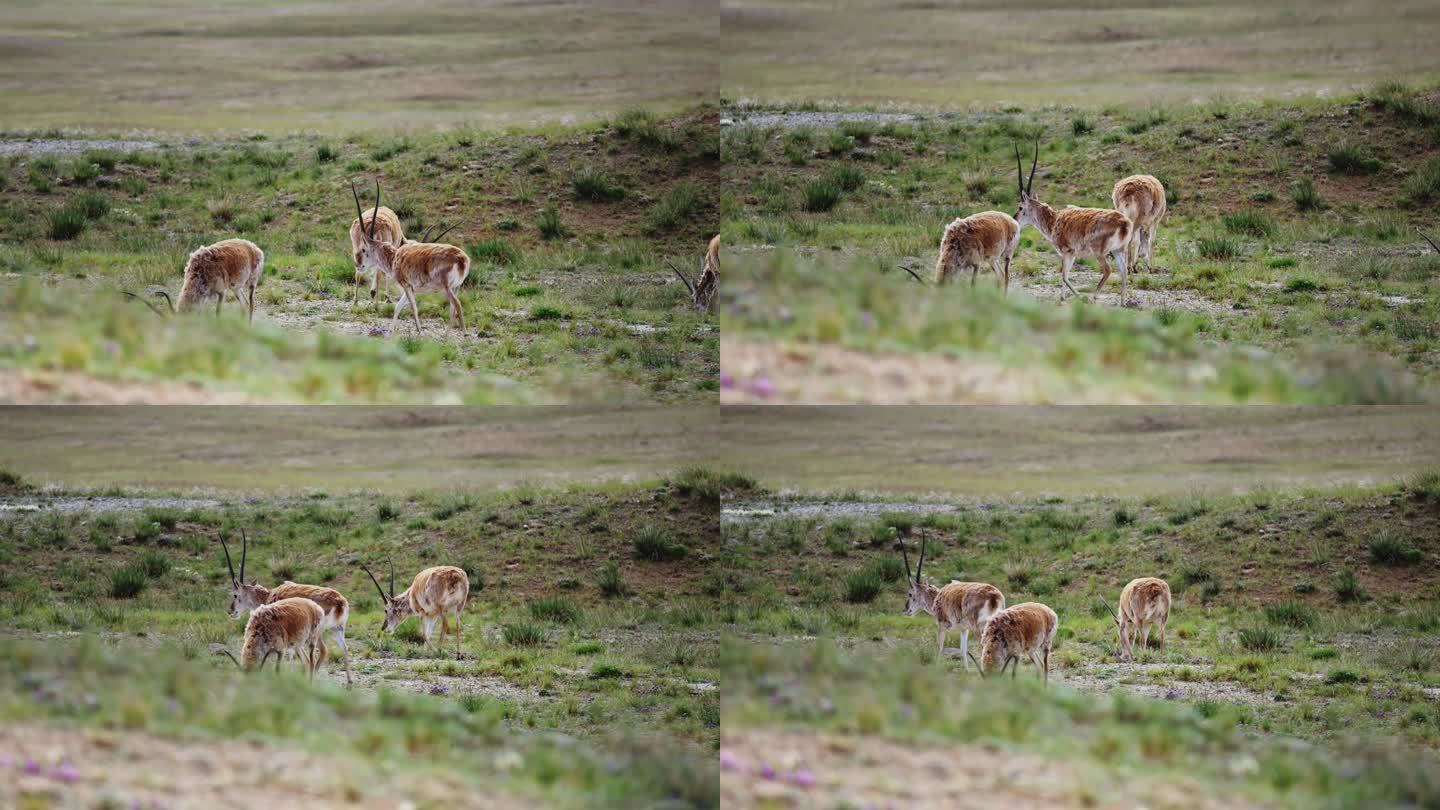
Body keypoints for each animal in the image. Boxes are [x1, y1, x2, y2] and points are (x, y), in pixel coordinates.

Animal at [218, 527, 354, 683]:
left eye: (235, 594)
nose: (231, 611)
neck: (268, 595)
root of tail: (339, 601)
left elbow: (293, 658)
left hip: (318, 633)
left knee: (322, 651)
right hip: (337, 628)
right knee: (344, 648)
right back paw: (349, 682)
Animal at [892, 536, 1008, 668]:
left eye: (910, 594)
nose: (906, 610)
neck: (936, 597)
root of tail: (993, 595)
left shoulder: (941, 625)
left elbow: (939, 647)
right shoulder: (964, 629)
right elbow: (963, 650)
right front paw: (966, 671)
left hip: (979, 628)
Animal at [1013, 138, 1134, 305]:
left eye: (1020, 207)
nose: (1014, 219)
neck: (1054, 220)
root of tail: (1124, 222)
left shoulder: (1068, 252)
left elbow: (1064, 276)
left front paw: (1077, 296)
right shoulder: (1071, 254)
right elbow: (1063, 276)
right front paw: (1062, 297)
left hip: (1100, 253)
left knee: (1108, 270)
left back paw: (1093, 297)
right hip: (1118, 250)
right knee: (1124, 271)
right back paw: (1122, 302)